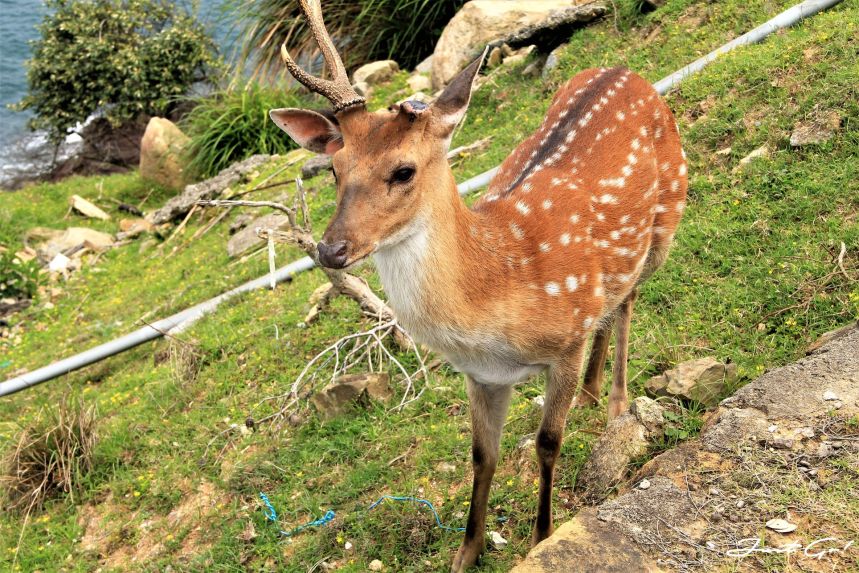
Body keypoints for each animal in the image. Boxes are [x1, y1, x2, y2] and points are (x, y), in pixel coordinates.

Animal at [269, 2, 687, 570]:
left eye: (404, 171)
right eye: (334, 169)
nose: (330, 250)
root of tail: (626, 72)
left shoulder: (564, 343)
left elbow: (547, 442)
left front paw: (541, 537)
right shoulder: (481, 375)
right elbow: (481, 455)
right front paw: (465, 553)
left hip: (666, 219)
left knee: (628, 301)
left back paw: (617, 402)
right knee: (613, 301)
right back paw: (590, 393)